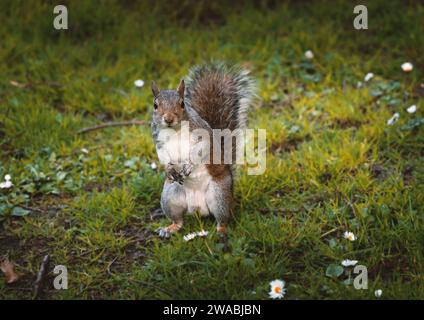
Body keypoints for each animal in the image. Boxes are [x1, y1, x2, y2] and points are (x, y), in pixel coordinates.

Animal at [151, 62, 253, 238]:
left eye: (182, 104)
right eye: (155, 105)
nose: (168, 118)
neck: (174, 130)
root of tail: (198, 210)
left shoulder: (202, 134)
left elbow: (202, 147)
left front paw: (189, 166)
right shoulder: (159, 141)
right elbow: (162, 155)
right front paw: (169, 168)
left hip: (219, 194)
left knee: (222, 218)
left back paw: (221, 231)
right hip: (170, 195)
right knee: (179, 220)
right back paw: (170, 228)